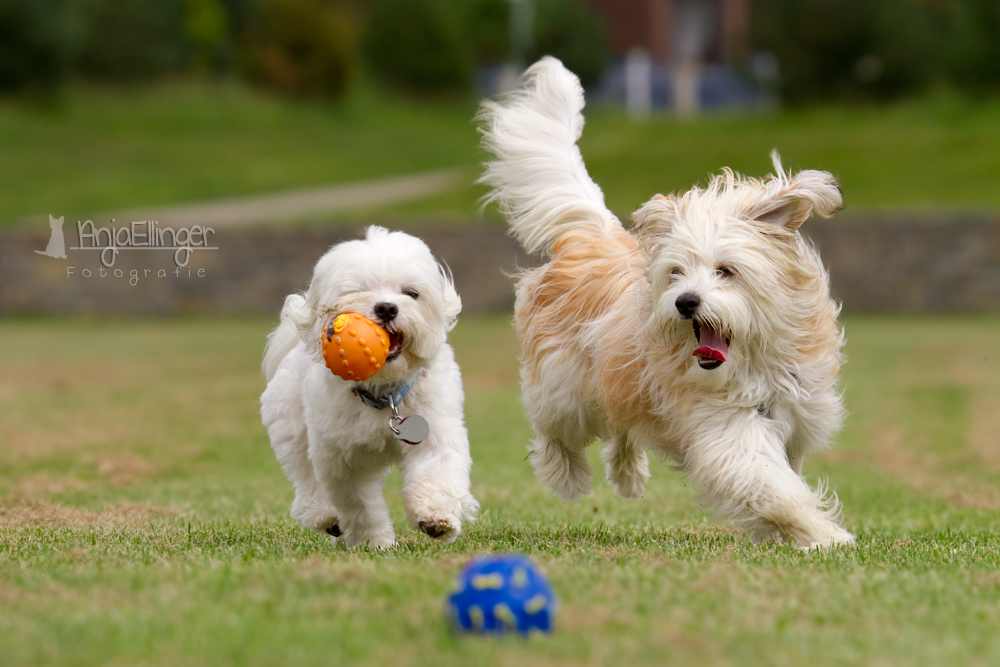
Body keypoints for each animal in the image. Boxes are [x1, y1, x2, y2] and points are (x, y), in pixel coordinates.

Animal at [262, 227, 480, 552]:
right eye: (358, 290)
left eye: (411, 293)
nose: (387, 307)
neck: (385, 392)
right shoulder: (341, 458)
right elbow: (359, 504)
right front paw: (372, 541)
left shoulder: (436, 430)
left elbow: (437, 473)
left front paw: (436, 518)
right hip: (292, 427)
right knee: (306, 477)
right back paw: (326, 515)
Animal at [480, 58, 856, 548]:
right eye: (676, 272)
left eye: (725, 271)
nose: (686, 302)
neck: (754, 360)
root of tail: (597, 236)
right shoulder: (727, 429)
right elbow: (773, 487)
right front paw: (823, 534)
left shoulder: (794, 416)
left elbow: (781, 480)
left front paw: (791, 533)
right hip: (564, 386)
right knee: (554, 429)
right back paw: (566, 474)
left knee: (621, 426)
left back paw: (627, 475)